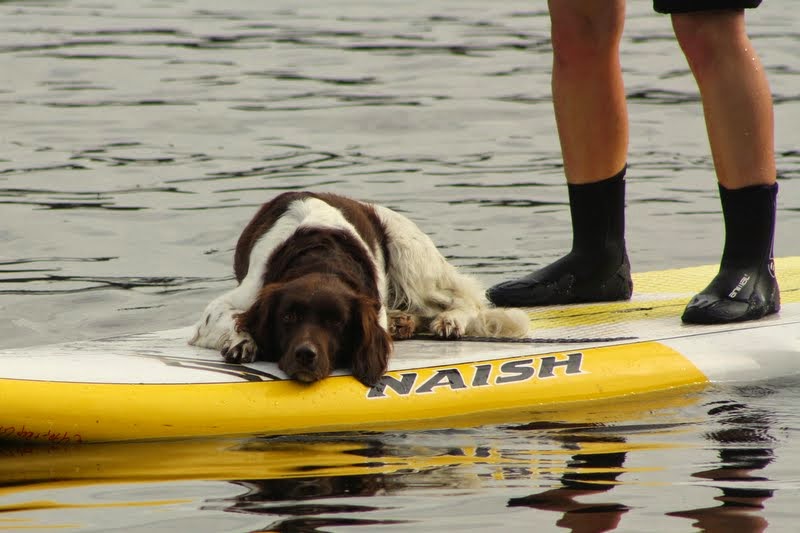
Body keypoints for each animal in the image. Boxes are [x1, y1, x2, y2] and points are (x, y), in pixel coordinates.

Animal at [189, 191, 532, 382]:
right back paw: (402, 321)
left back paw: (449, 320)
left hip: (409, 254)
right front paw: (241, 341)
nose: (306, 355)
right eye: (288, 317)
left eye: (336, 322)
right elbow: (229, 318)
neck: (322, 259)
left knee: (466, 297)